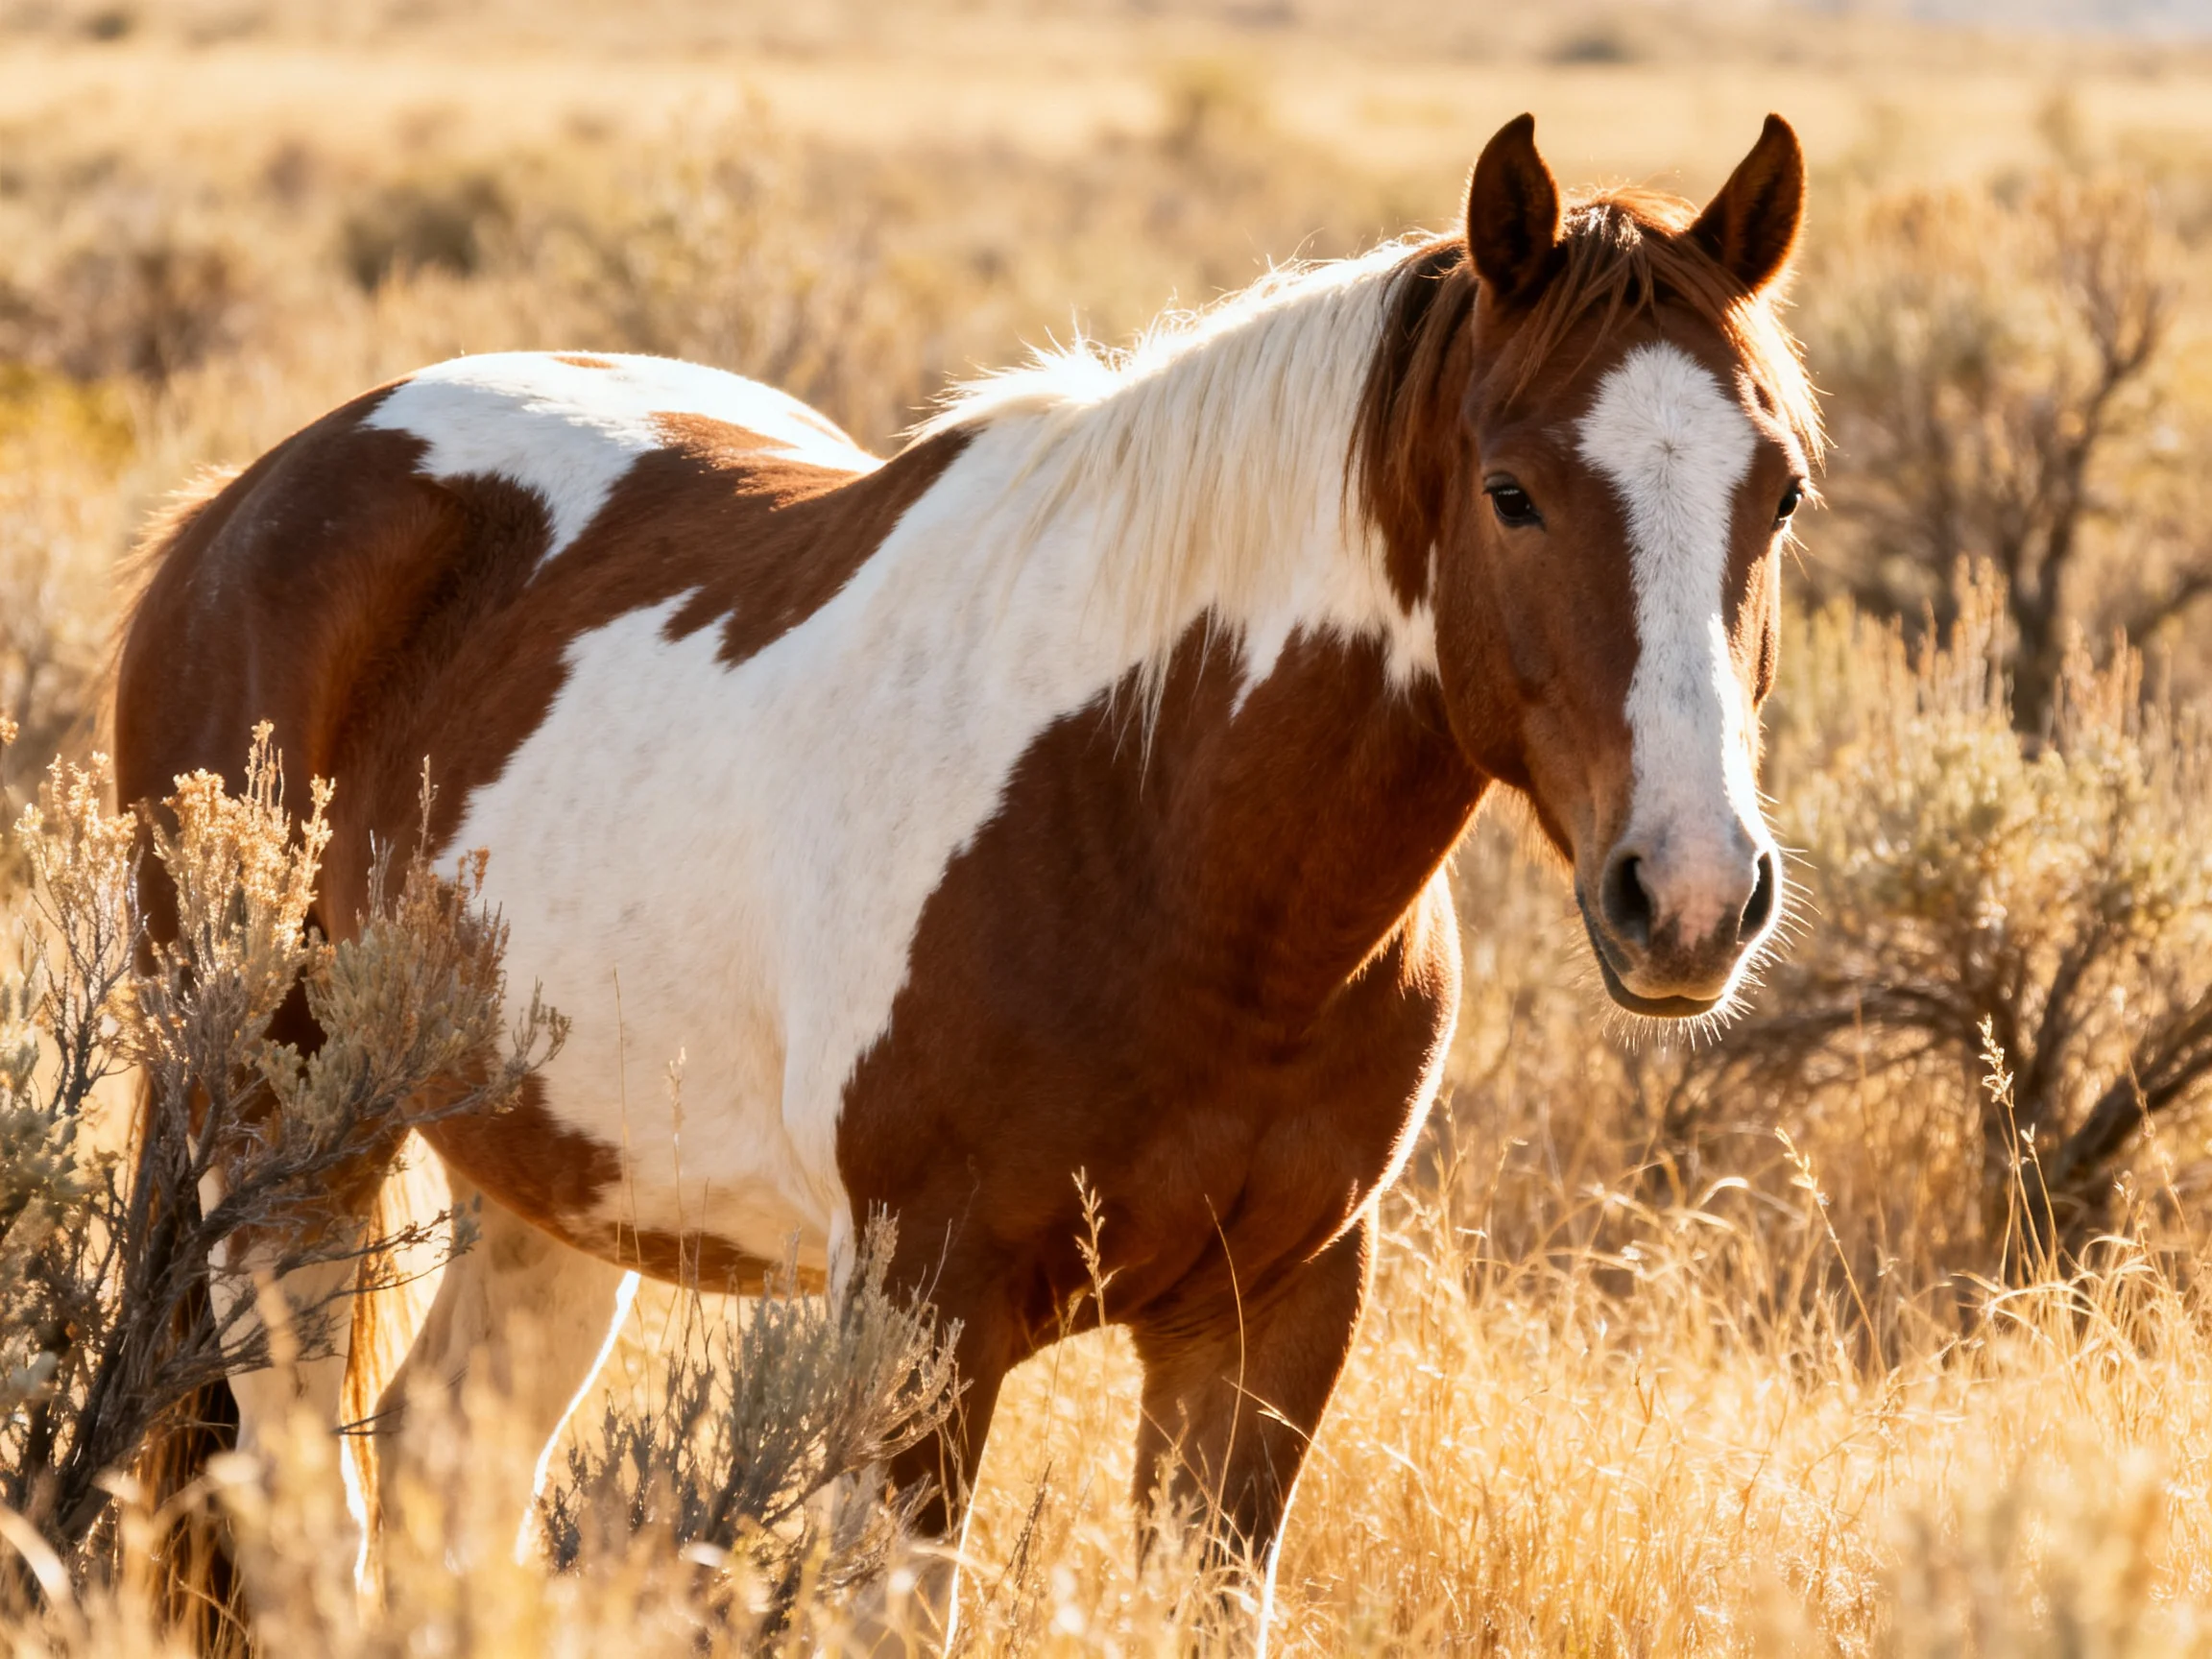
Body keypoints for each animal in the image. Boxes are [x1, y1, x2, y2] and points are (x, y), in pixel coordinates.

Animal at [114, 111, 1818, 1646]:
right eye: (1512, 492)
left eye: (1782, 490)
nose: (1688, 893)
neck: (1168, 834)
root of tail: (239, 504)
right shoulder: (923, 1323)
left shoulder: (1272, 1318)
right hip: (282, 1150)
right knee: (303, 1518)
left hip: (552, 1186)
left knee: (444, 1473)